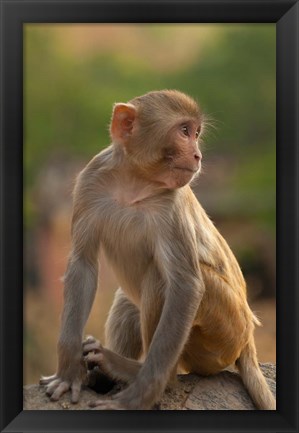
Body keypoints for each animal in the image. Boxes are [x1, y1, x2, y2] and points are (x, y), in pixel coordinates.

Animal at [41, 88, 278, 408]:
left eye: (196, 133)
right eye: (184, 131)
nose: (197, 154)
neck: (135, 180)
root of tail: (248, 342)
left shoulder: (172, 204)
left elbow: (186, 285)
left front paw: (133, 400)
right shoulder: (89, 182)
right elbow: (83, 264)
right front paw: (68, 373)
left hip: (224, 332)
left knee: (160, 279)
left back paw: (141, 373)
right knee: (129, 300)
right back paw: (103, 374)